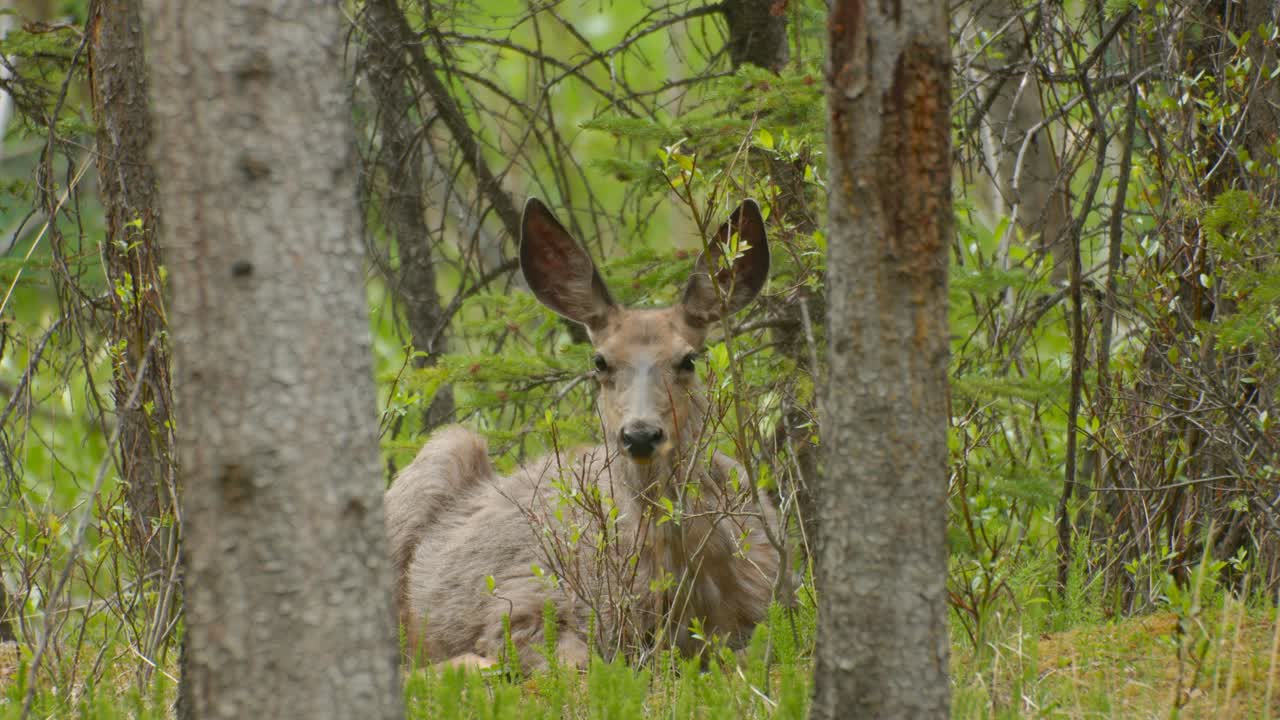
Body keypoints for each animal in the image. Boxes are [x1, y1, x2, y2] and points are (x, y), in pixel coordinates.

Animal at [384, 198, 780, 671]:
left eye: (688, 359)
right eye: (600, 361)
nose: (641, 435)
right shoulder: (524, 599)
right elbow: (574, 666)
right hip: (441, 453)